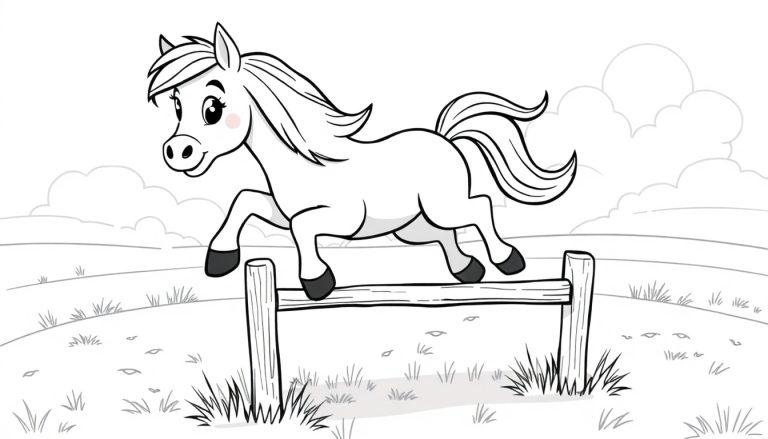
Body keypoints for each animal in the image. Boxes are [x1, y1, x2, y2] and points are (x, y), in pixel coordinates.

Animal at [147, 23, 576, 301]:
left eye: (213, 107)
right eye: (177, 105)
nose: (176, 152)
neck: (303, 163)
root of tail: (446, 139)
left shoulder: (341, 218)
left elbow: (303, 228)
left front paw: (317, 281)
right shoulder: (278, 210)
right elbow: (244, 201)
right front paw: (220, 259)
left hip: (444, 205)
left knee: (480, 208)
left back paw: (508, 261)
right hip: (413, 226)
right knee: (446, 236)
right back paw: (467, 270)